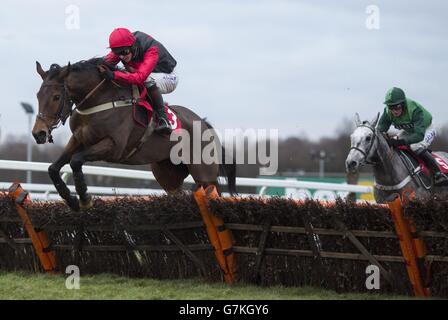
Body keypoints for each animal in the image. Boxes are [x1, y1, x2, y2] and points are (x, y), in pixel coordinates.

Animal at [33, 59, 236, 211]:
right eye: (38, 95)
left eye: (56, 97)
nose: (39, 133)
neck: (99, 100)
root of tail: (204, 123)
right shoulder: (78, 140)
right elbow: (53, 168)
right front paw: (71, 200)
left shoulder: (114, 146)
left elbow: (75, 161)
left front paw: (84, 198)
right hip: (167, 174)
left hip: (204, 173)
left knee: (213, 192)